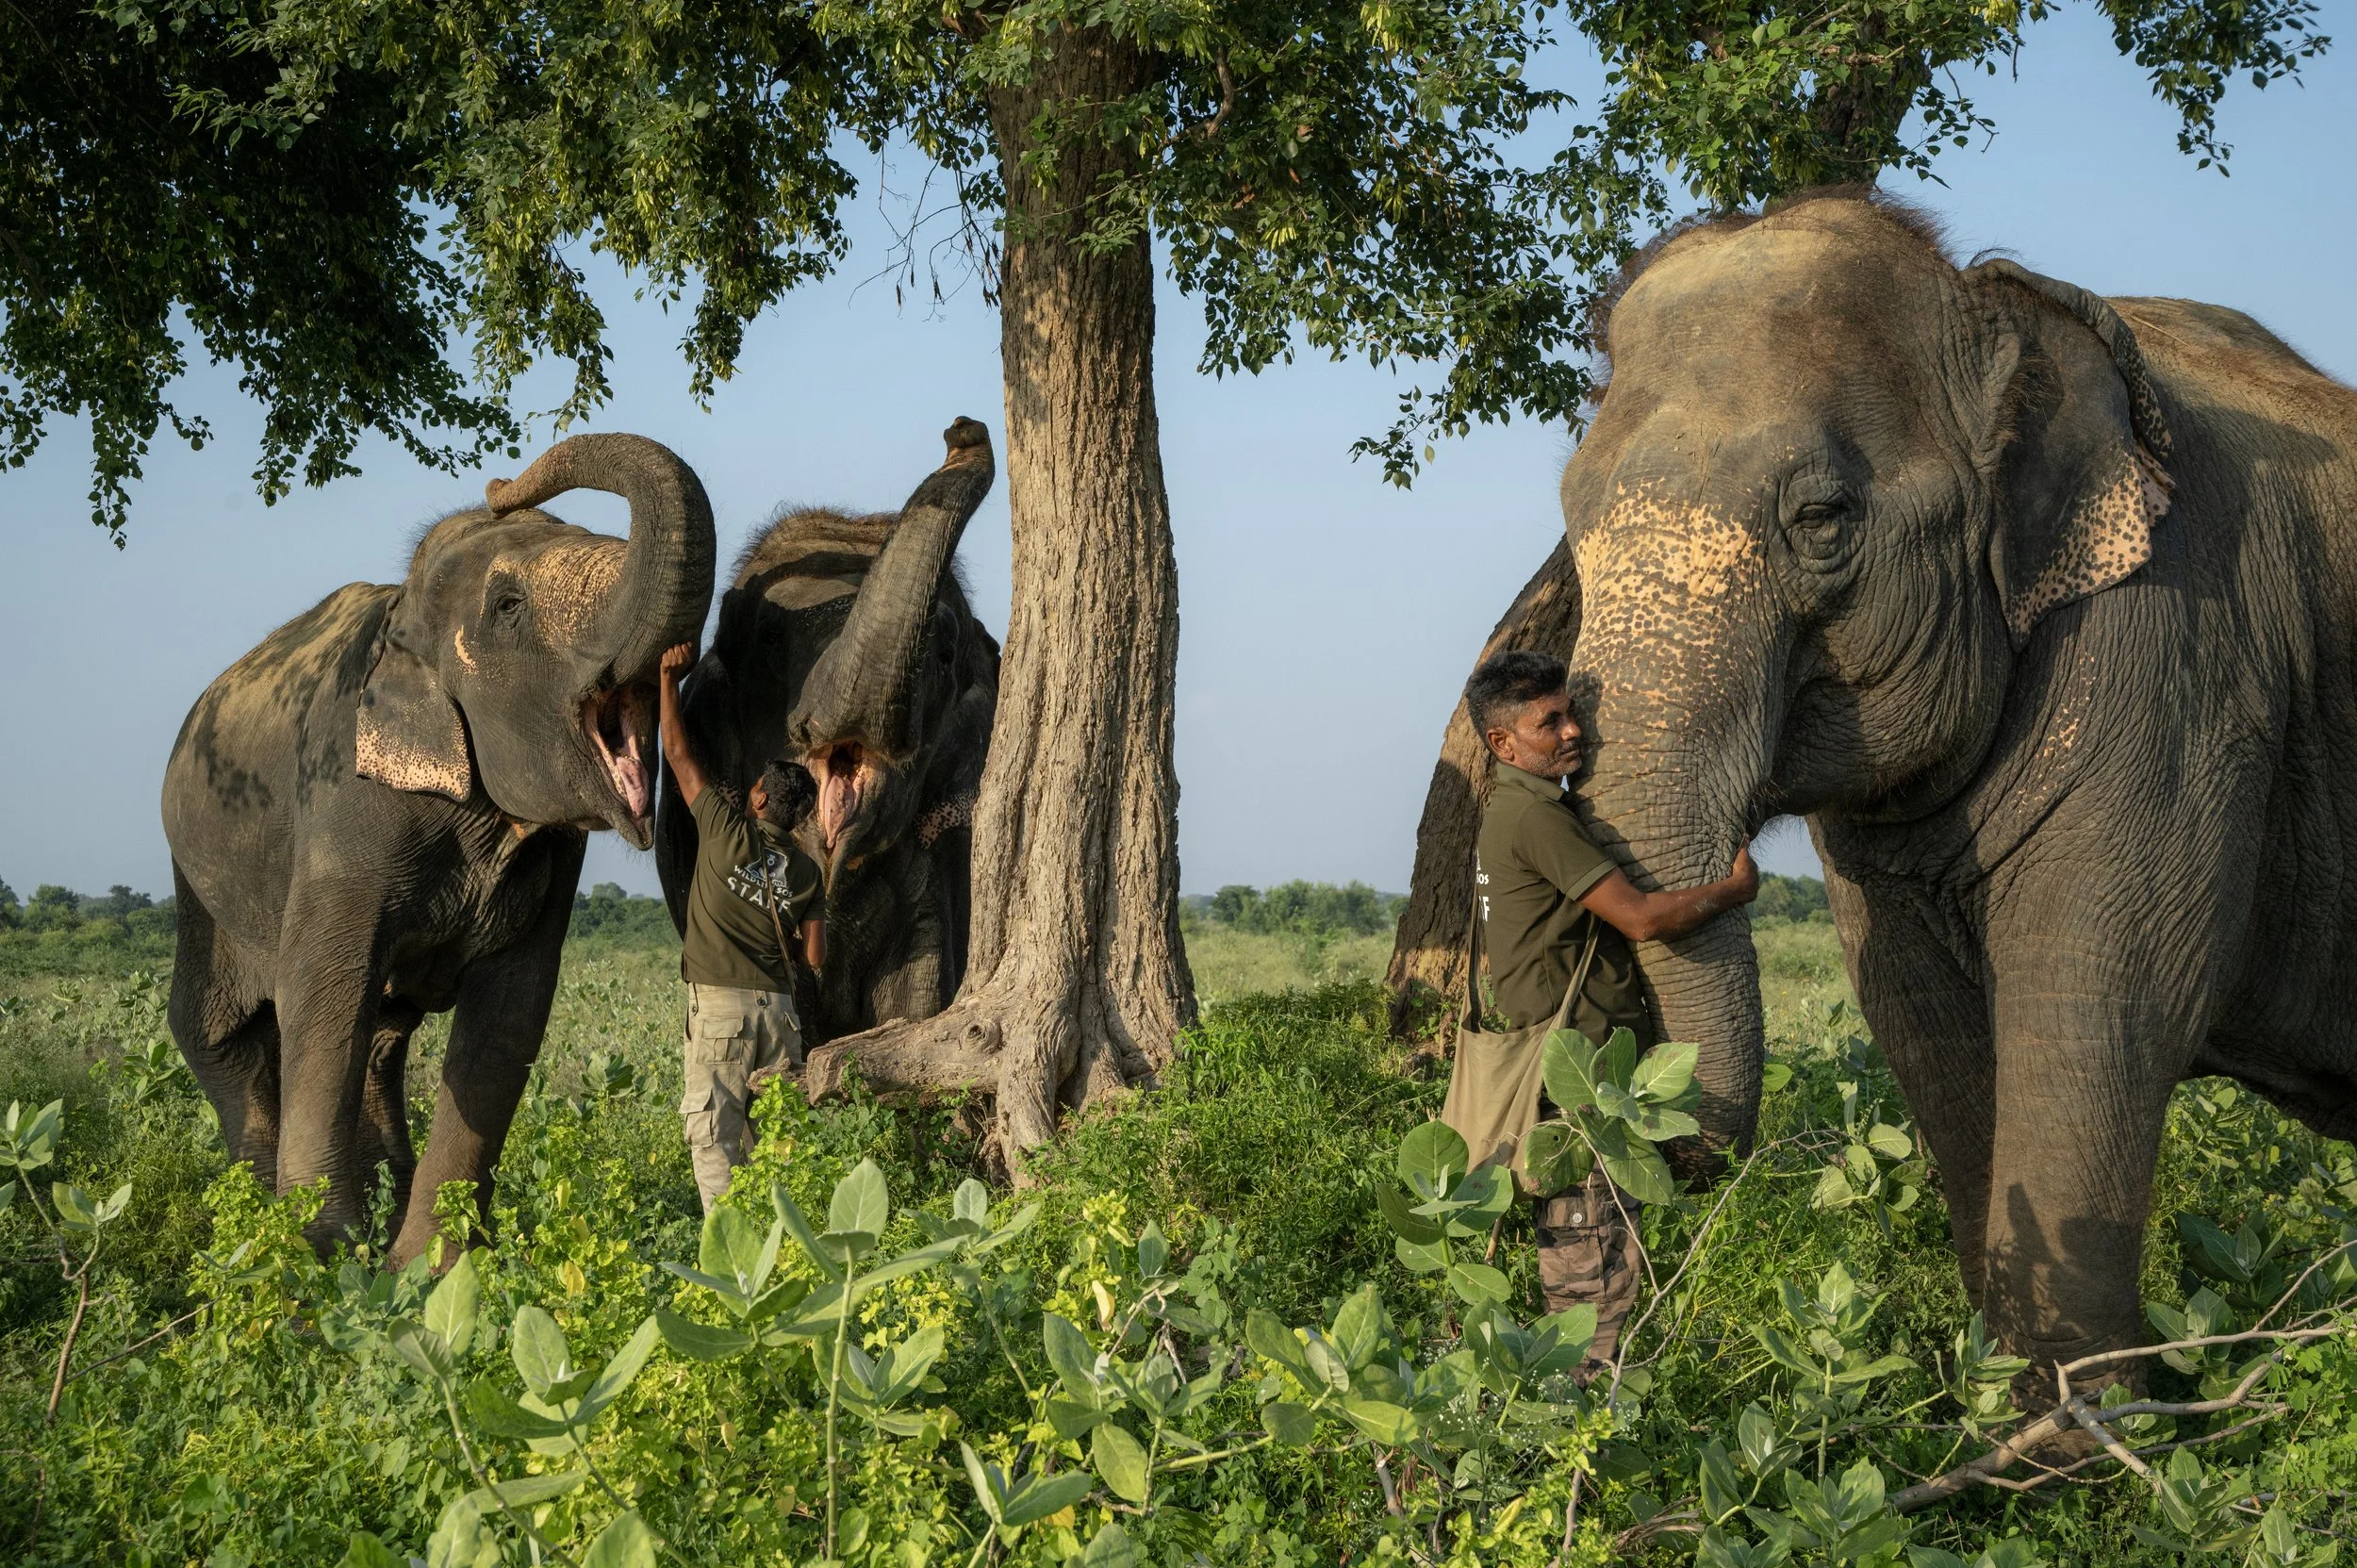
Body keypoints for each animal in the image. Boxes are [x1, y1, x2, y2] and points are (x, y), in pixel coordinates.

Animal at [164, 435, 715, 1262]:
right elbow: (324, 995)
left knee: (384, 1039)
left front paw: (431, 1268)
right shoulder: (342, 799)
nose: (500, 482)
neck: (403, 618)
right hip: (195, 878)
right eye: (509, 605)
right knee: (217, 1029)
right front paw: (331, 1260)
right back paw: (265, 1236)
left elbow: (512, 1011)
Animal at [1429, 188, 2357, 1370]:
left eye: (1821, 521)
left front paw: (2074, 1413)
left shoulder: (2183, 650)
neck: (1993, 310)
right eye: (1572, 523)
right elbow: (1922, 1023)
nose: (1662, 1143)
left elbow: (2103, 997)